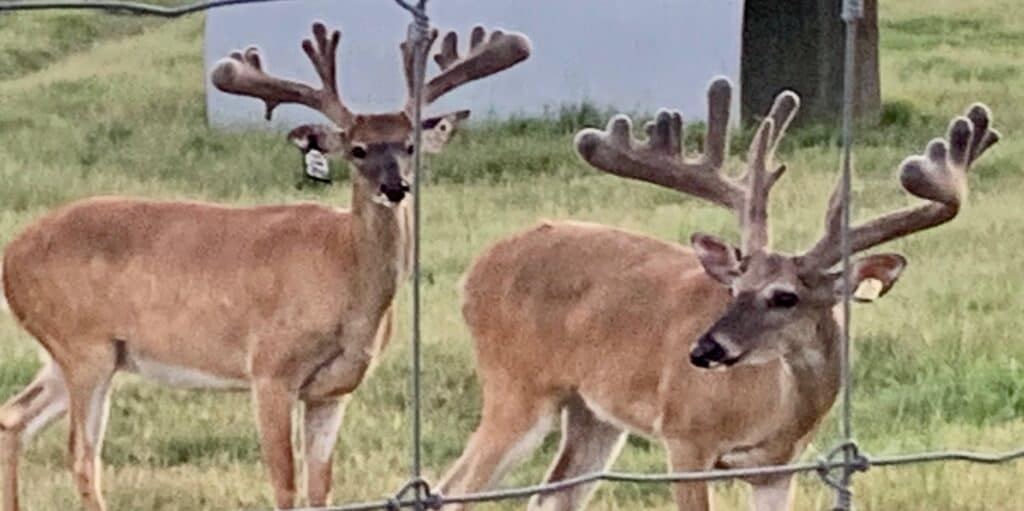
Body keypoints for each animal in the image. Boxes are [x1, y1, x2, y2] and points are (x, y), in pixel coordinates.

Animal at [0, 21, 530, 511]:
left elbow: (320, 489)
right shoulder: (270, 368)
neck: (344, 278)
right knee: (82, 455)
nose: (395, 187)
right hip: (84, 344)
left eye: (410, 145)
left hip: (76, 351)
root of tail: (11, 254)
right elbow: (285, 487)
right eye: (357, 150)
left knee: (14, 416)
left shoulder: (334, 389)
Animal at [437, 78, 999, 511]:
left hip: (592, 412)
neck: (773, 408)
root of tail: (474, 271)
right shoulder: (685, 436)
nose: (703, 350)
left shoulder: (778, 468)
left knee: (550, 494)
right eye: (736, 287)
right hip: (516, 384)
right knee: (454, 490)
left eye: (784, 297)